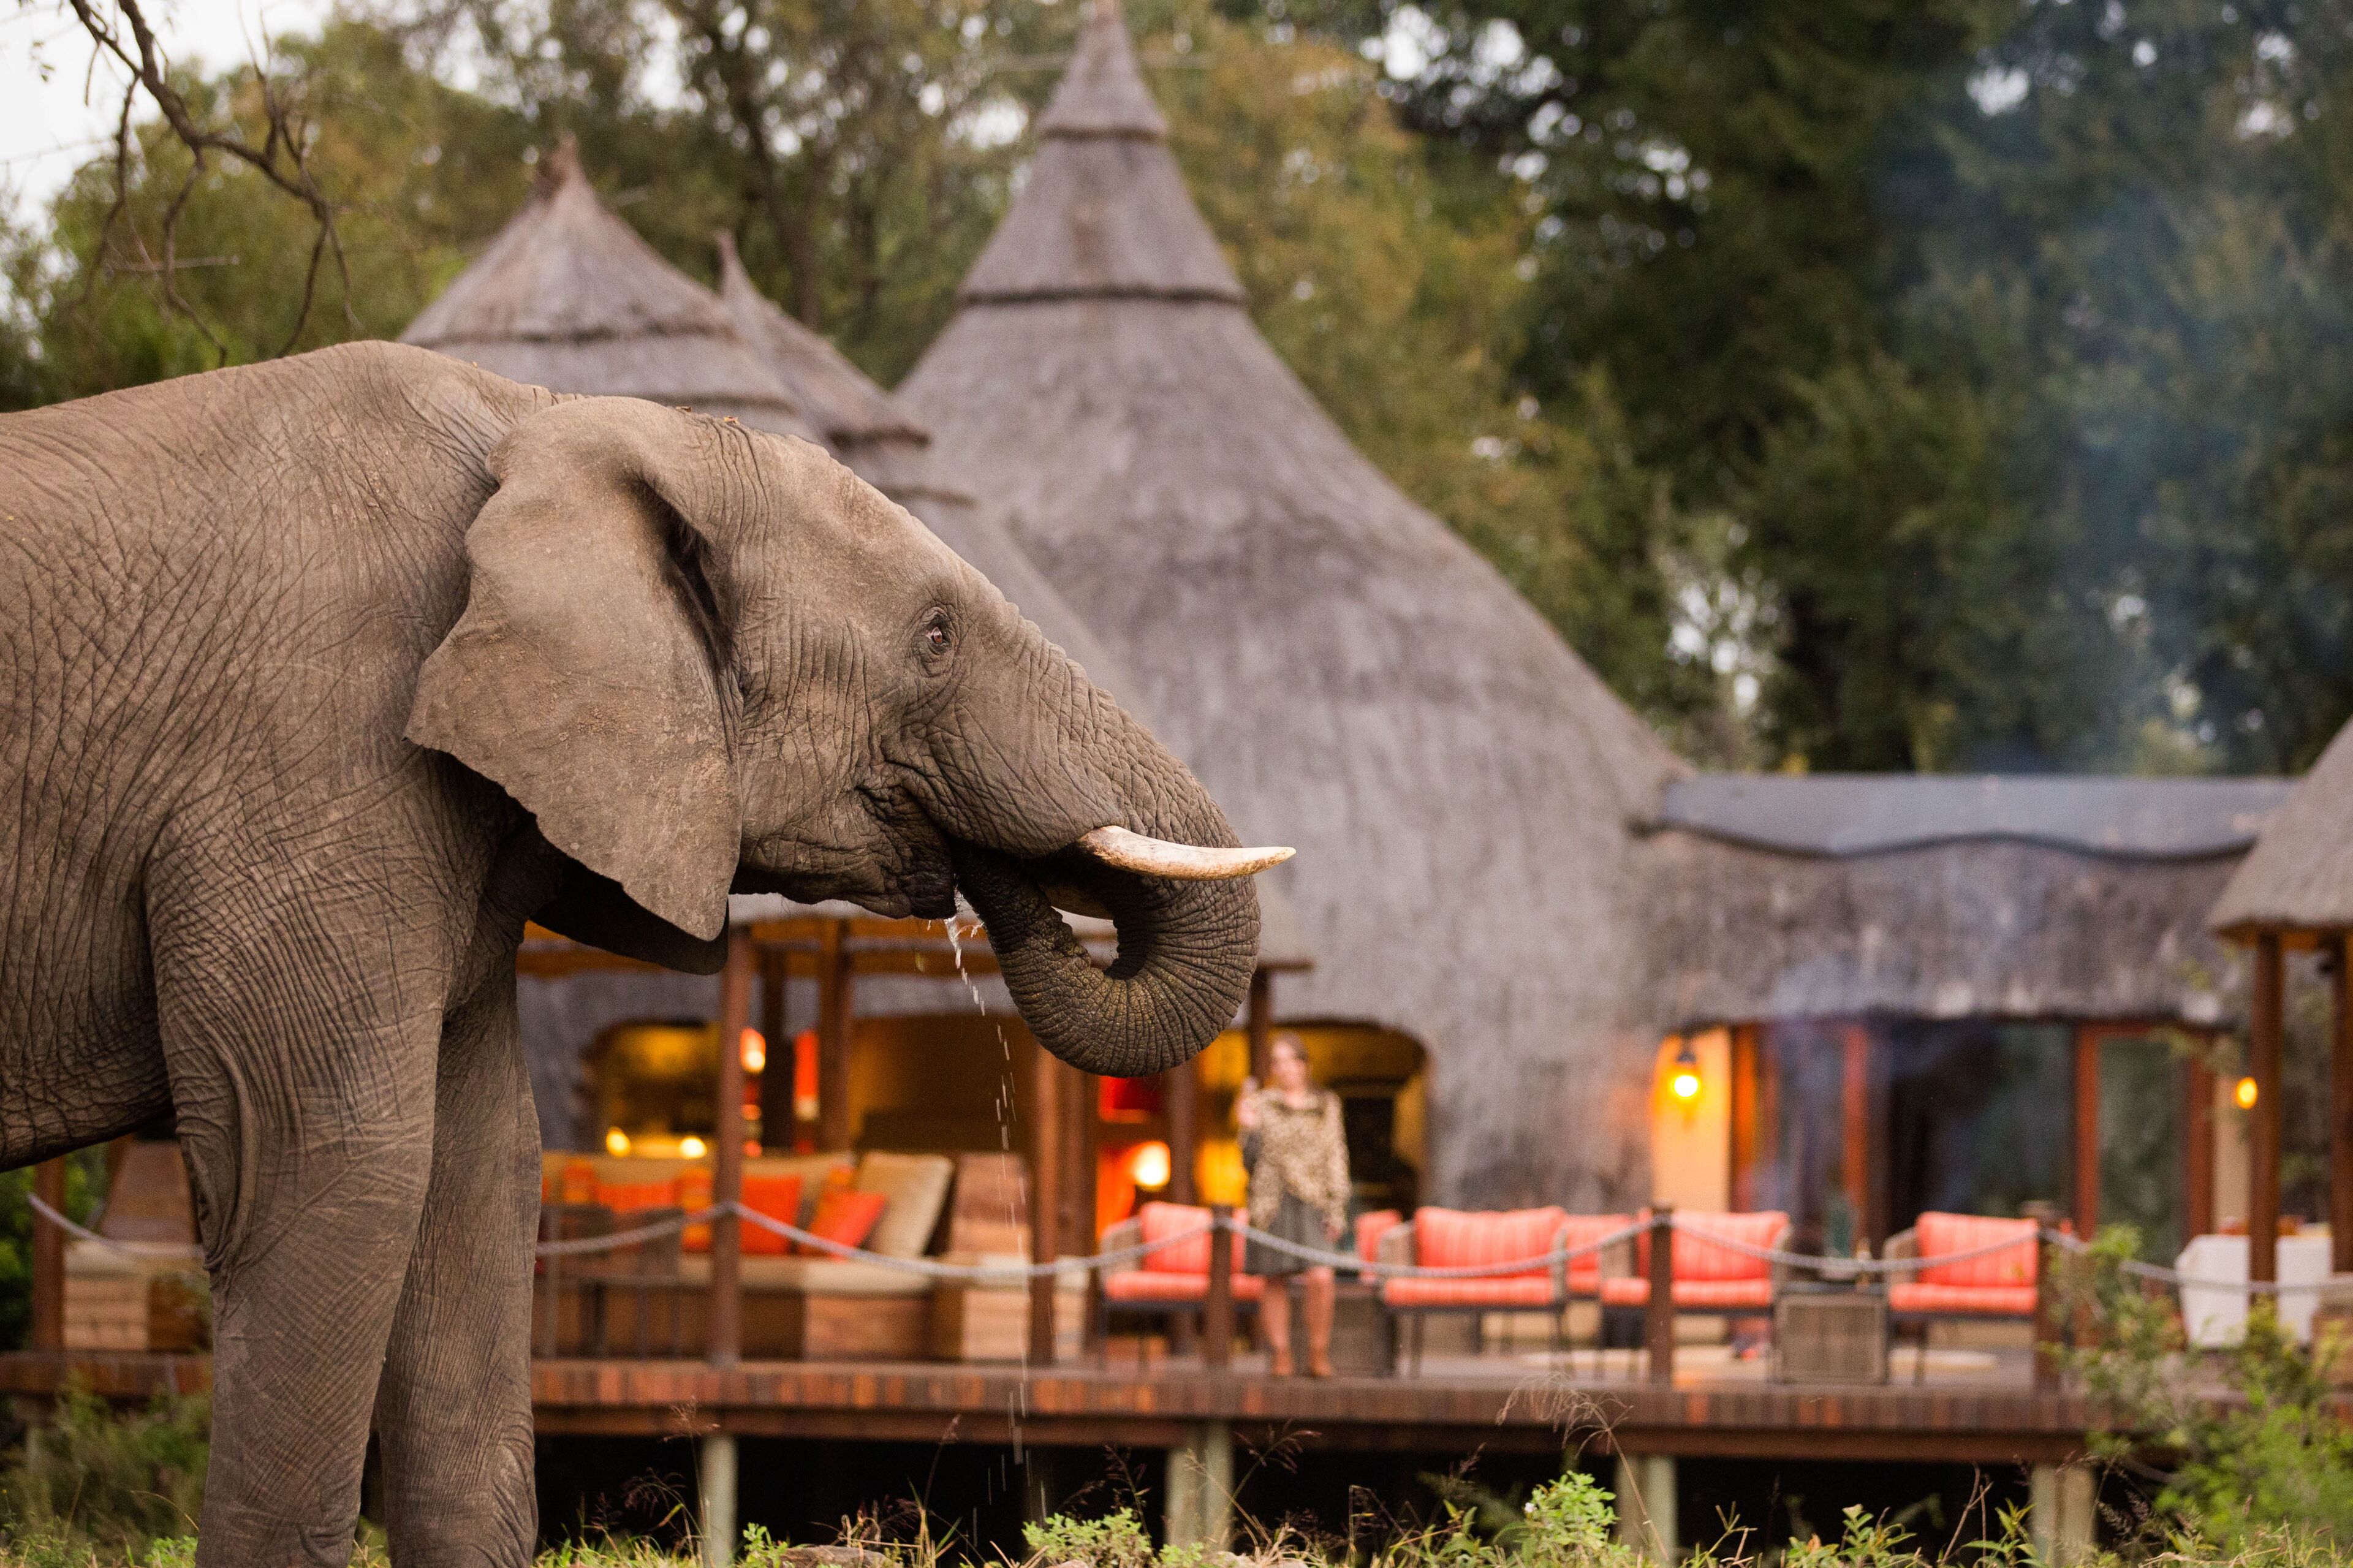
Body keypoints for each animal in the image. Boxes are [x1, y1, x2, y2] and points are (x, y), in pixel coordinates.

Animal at [0, 340, 1284, 1565]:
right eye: (934, 635)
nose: (982, 870)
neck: (544, 415)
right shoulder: (312, 758)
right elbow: (338, 1166)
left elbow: (478, 1171)